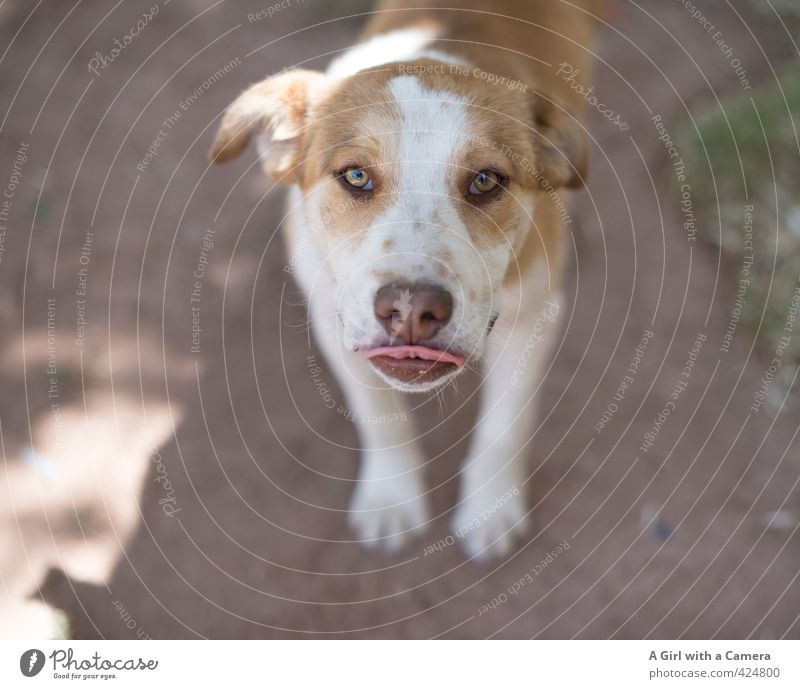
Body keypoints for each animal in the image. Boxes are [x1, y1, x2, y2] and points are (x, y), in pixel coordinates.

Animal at [209, 0, 604, 560]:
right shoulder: (332, 317)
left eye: (486, 180)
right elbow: (380, 414)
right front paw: (392, 498)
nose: (413, 309)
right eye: (355, 176)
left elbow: (505, 426)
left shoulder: (534, 316)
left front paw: (489, 510)